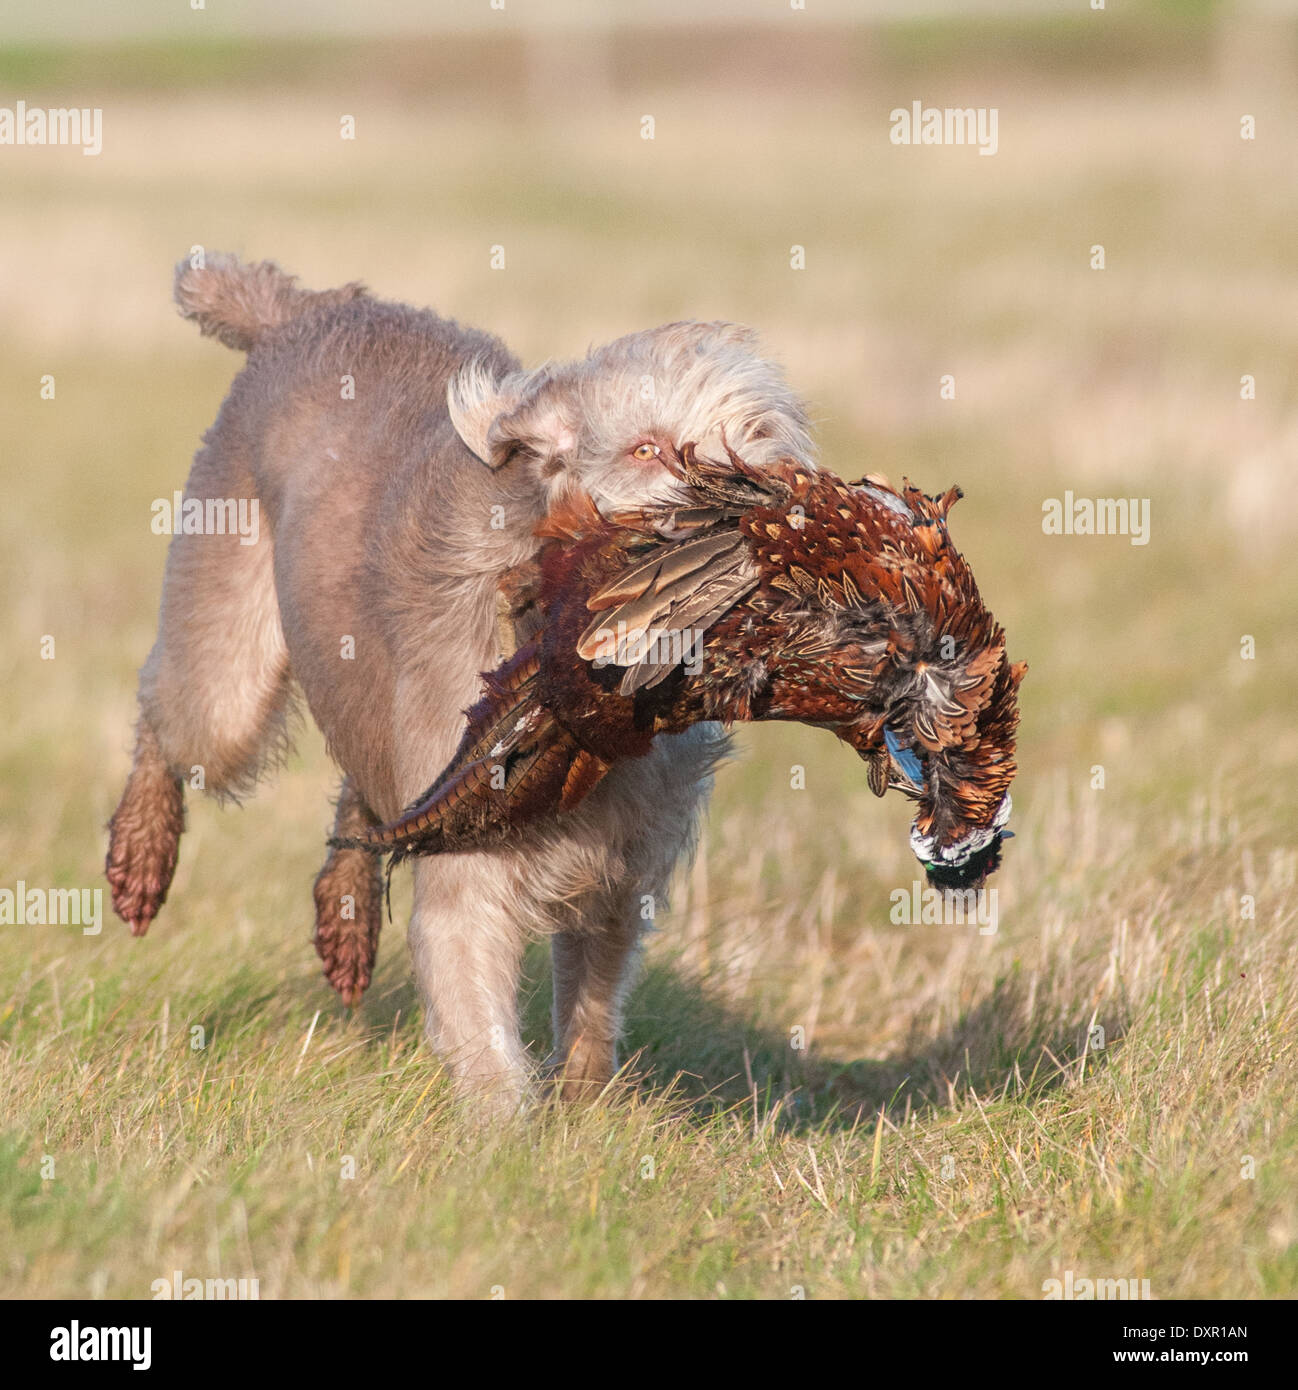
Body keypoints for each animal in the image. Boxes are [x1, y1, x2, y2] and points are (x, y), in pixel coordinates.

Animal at [107, 255, 811, 1112]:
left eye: (760, 438)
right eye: (647, 450)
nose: (755, 519)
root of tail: (303, 314)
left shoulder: (616, 882)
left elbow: (590, 1009)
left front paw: (585, 1116)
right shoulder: (467, 879)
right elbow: (484, 1031)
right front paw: (508, 1133)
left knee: (362, 791)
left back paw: (346, 922)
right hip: (227, 672)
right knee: (170, 720)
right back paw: (142, 855)